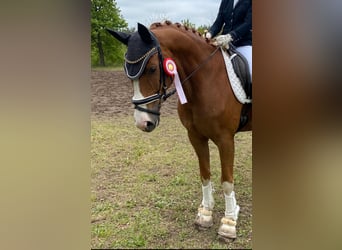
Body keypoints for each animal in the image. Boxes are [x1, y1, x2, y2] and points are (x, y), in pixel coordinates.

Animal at [107, 21, 251, 240]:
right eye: (127, 71)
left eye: (152, 68)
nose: (143, 122)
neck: (206, 80)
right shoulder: (195, 136)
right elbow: (205, 174)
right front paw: (205, 214)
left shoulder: (226, 139)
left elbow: (227, 181)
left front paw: (228, 223)